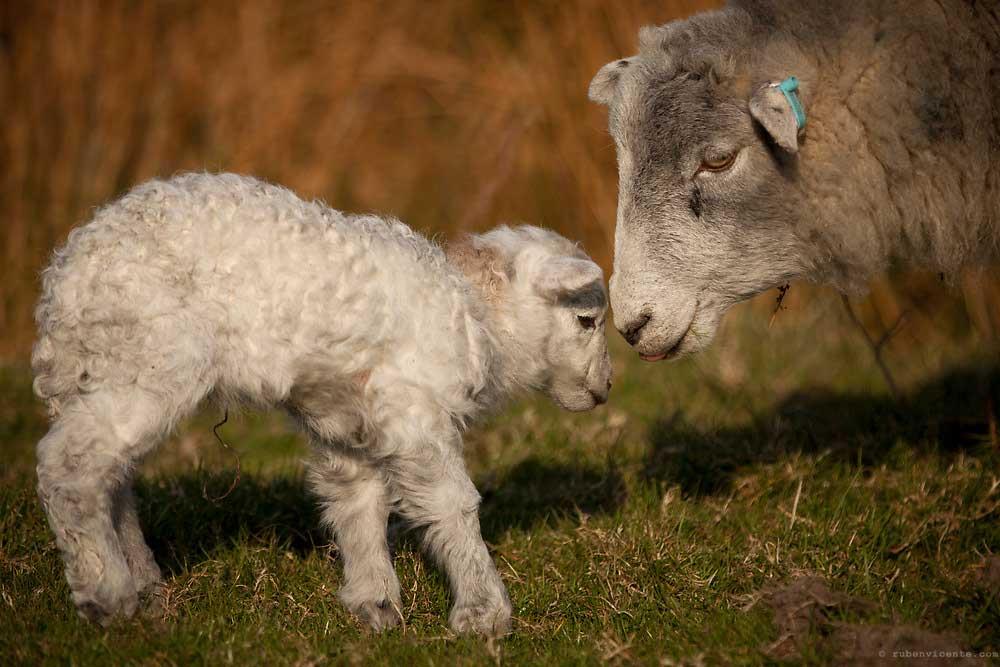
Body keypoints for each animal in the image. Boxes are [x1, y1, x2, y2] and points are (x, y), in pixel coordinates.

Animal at [31, 172, 608, 636]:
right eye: (587, 321)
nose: (603, 389)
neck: (477, 310)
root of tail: (65, 282)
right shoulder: (414, 415)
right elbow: (452, 504)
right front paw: (483, 615)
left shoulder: (347, 422)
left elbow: (357, 503)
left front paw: (374, 604)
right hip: (148, 359)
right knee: (72, 467)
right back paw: (107, 595)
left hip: (103, 371)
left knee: (114, 480)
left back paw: (147, 588)